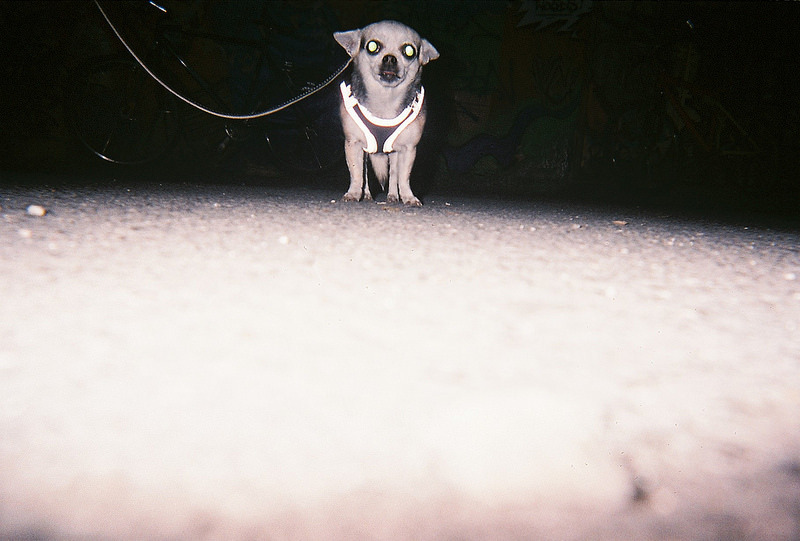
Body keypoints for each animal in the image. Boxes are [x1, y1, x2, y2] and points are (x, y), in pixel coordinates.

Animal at [334, 20, 439, 206]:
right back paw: (367, 194)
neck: (385, 100)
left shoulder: (408, 149)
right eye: (373, 46)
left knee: (394, 174)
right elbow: (357, 174)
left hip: (394, 153)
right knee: (365, 174)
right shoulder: (353, 144)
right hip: (367, 152)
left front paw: (408, 196)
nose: (390, 58)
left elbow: (403, 177)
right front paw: (353, 193)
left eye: (409, 51)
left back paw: (393, 196)